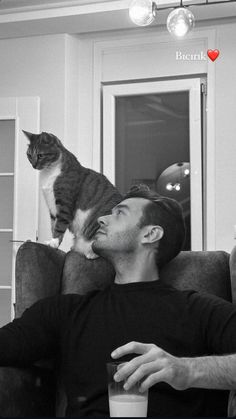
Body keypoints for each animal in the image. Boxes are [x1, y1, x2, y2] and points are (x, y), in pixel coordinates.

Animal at [22, 130, 122, 260]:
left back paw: (91, 253)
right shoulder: (52, 208)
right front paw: (54, 244)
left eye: (40, 155)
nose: (33, 165)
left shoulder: (64, 202)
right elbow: (53, 225)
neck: (49, 173)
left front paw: (53, 243)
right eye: (29, 155)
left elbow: (59, 225)